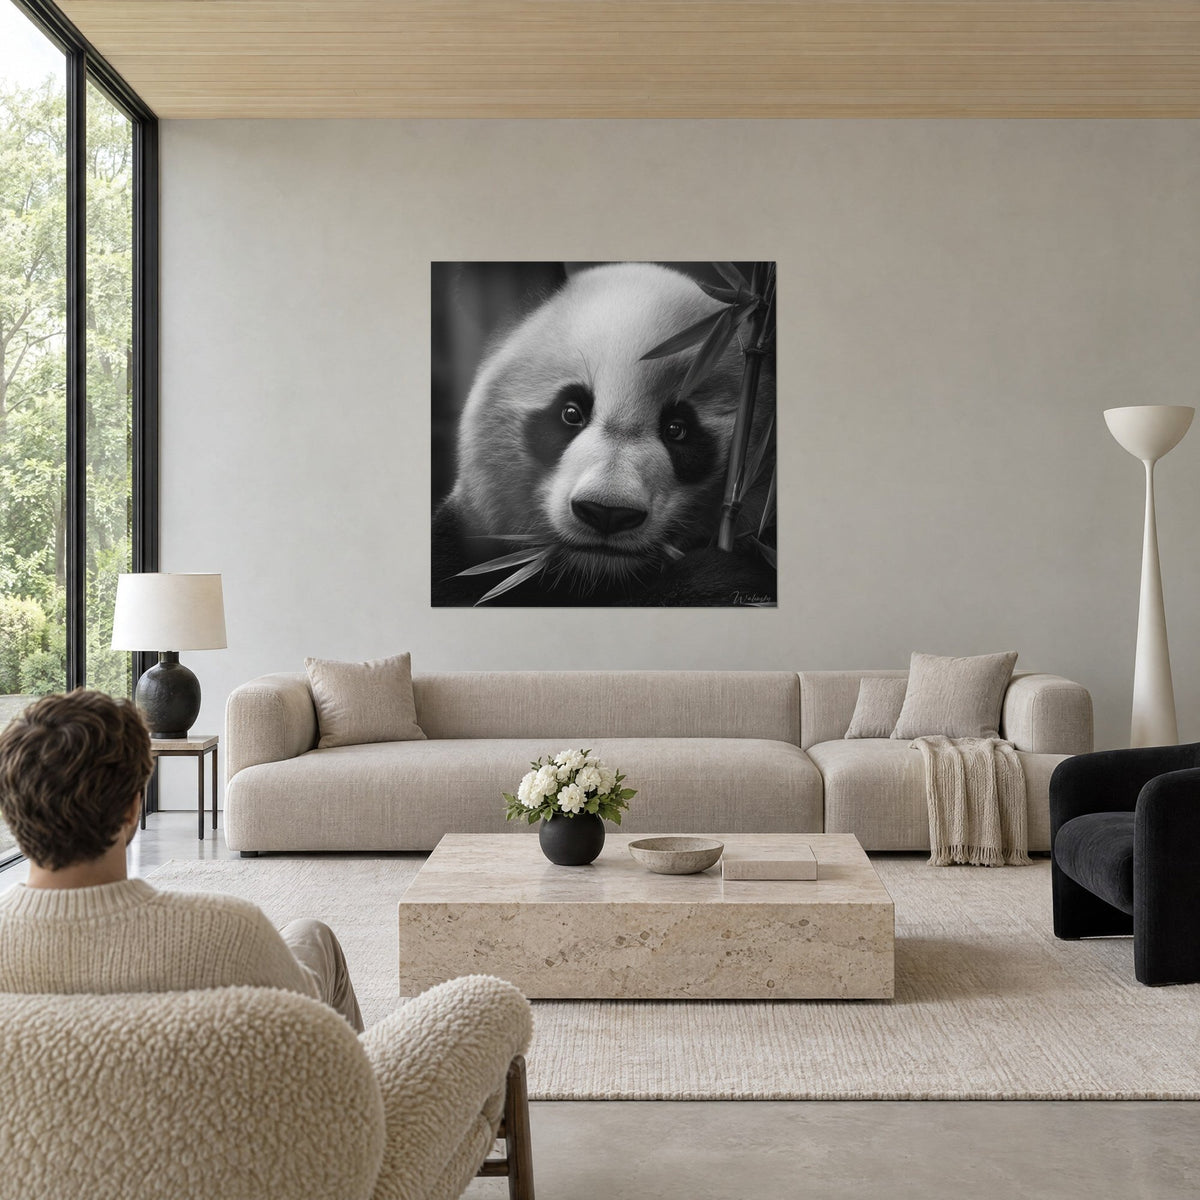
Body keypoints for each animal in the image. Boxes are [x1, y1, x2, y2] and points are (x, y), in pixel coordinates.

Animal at [432, 263, 776, 606]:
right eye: (571, 412)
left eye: (677, 429)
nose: (607, 512)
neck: (592, 576)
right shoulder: (463, 551)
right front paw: (714, 579)